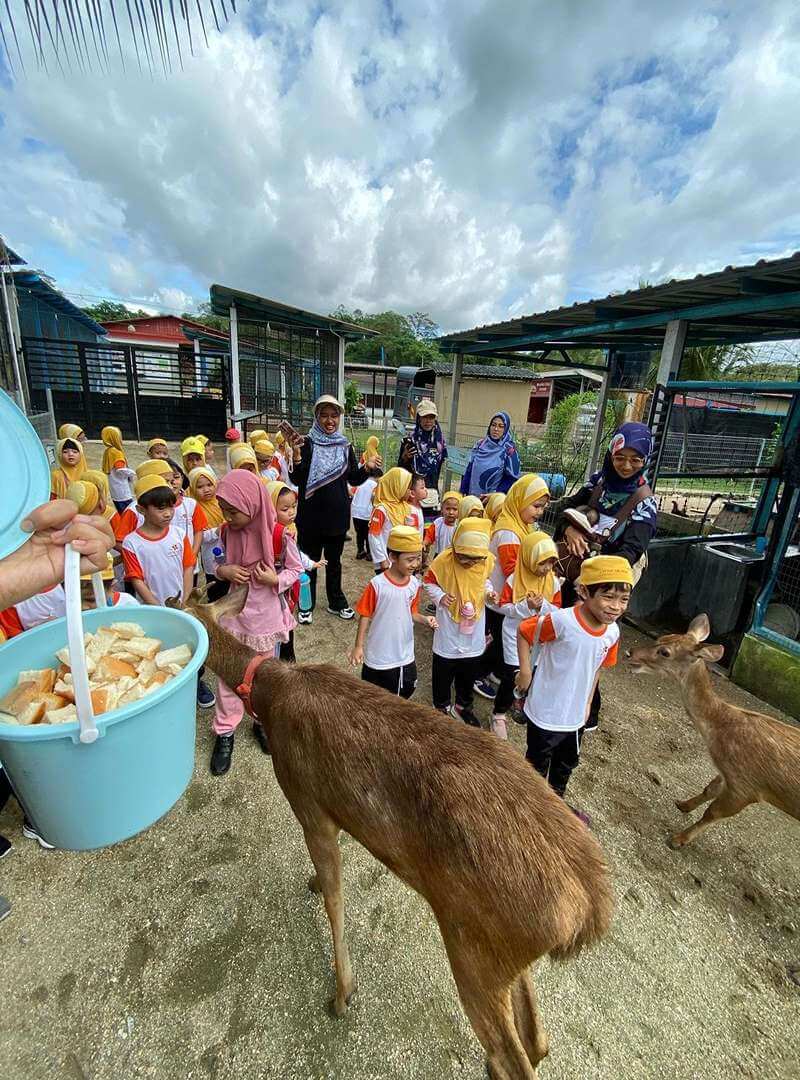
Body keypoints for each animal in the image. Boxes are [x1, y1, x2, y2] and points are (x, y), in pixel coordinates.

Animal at [179, 591, 613, 1080]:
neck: (269, 696)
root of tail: (590, 906)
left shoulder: (305, 797)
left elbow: (334, 896)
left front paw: (342, 995)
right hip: (500, 948)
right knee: (538, 1038)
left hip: (471, 942)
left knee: (514, 1053)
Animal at [630, 613, 798, 846]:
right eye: (662, 637)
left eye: (665, 652)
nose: (630, 652)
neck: (720, 733)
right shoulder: (728, 773)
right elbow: (708, 789)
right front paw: (683, 804)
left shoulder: (748, 785)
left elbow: (713, 812)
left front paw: (678, 840)